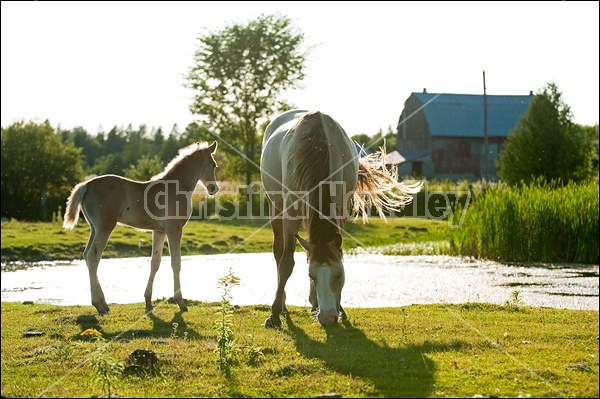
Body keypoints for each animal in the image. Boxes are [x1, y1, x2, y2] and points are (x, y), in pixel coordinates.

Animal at [62, 142, 220, 314]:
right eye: (214, 165)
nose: (214, 189)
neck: (177, 187)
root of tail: (87, 185)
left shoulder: (159, 231)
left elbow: (155, 262)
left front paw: (148, 302)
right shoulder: (174, 229)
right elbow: (176, 263)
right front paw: (181, 303)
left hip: (94, 228)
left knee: (86, 255)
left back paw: (104, 304)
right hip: (105, 228)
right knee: (93, 257)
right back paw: (99, 305)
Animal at [258, 111, 422, 330]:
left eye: (338, 275)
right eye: (311, 276)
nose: (327, 318)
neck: (318, 148)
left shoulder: (341, 211)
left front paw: (338, 308)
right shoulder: (290, 213)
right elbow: (286, 263)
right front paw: (274, 315)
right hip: (274, 208)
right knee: (278, 251)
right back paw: (283, 304)